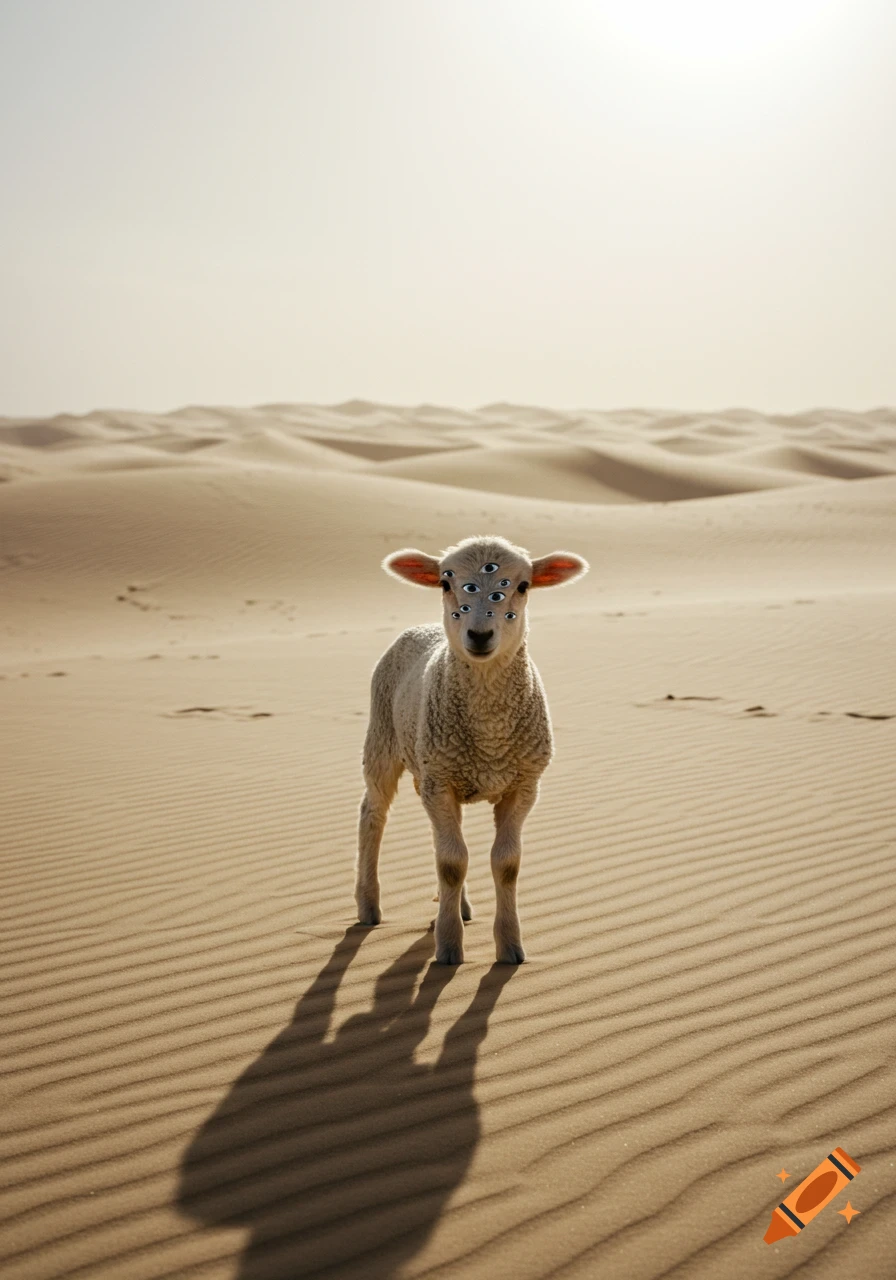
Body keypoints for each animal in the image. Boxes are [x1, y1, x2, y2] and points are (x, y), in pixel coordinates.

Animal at [355, 535, 589, 964]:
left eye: (523, 586)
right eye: (445, 583)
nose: (480, 635)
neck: (489, 732)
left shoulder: (523, 785)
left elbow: (505, 863)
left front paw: (510, 947)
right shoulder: (441, 782)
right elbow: (452, 863)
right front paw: (448, 948)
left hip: (430, 767)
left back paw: (459, 908)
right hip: (383, 740)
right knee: (373, 814)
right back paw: (368, 906)